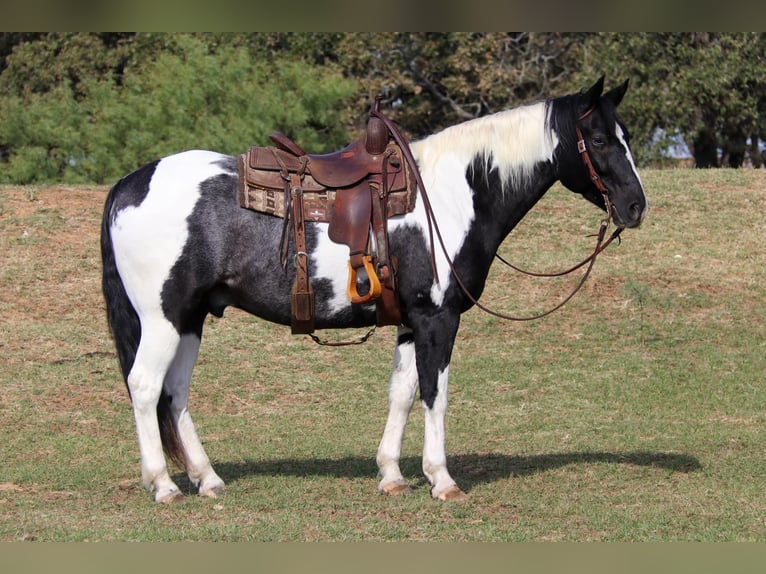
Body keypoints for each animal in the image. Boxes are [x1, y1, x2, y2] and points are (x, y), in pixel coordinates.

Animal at [100, 77, 648, 504]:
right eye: (600, 139)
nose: (636, 206)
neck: (452, 194)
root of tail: (131, 182)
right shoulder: (437, 317)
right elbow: (434, 393)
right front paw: (441, 479)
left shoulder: (409, 320)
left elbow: (402, 392)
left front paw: (391, 475)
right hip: (163, 318)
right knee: (145, 387)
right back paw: (164, 485)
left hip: (190, 319)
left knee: (174, 394)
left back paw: (207, 479)